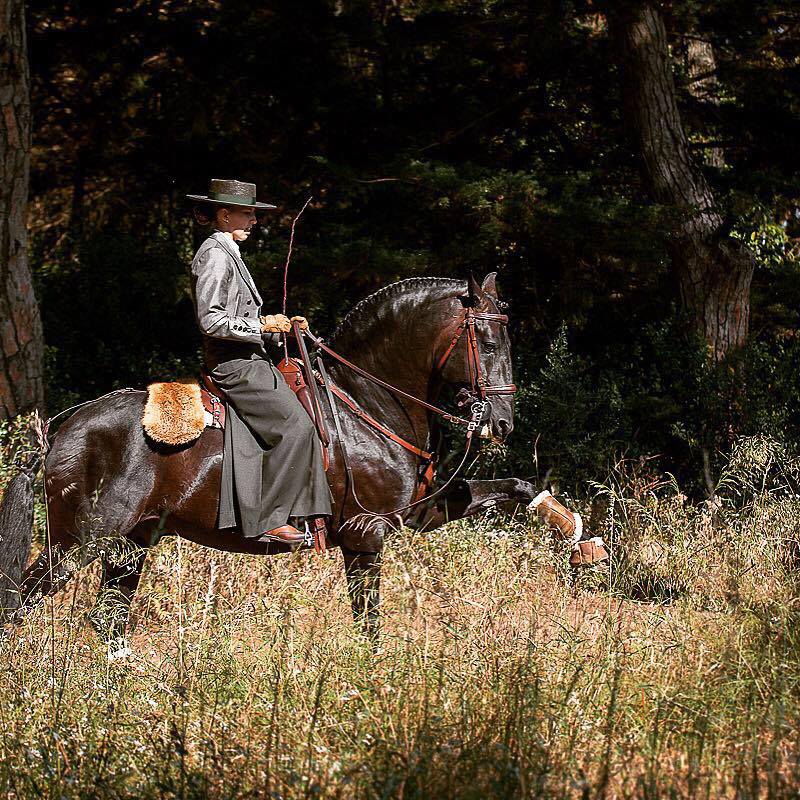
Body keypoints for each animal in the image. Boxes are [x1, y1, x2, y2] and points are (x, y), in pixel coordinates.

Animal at [0, 276, 560, 648]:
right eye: (489, 340)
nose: (502, 423)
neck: (366, 401)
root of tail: (62, 428)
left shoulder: (413, 515)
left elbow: (514, 486)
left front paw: (568, 529)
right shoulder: (365, 534)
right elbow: (369, 622)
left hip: (128, 546)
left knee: (107, 620)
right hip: (78, 542)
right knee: (20, 600)